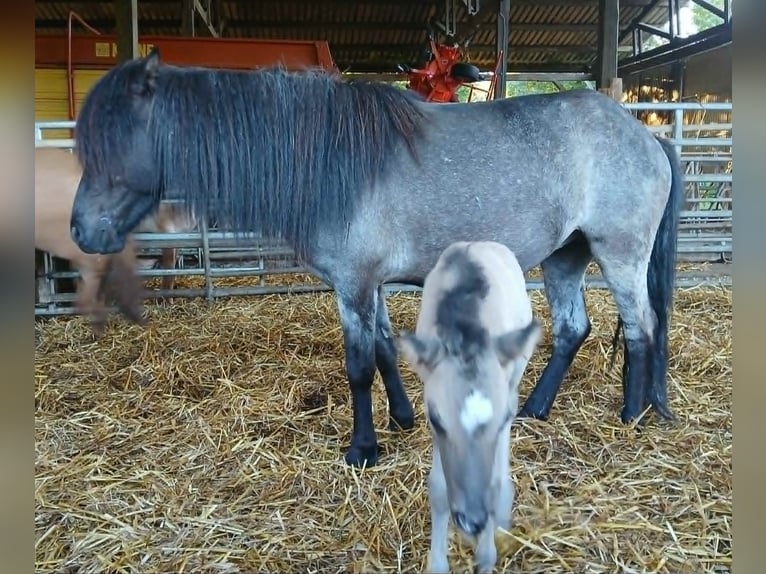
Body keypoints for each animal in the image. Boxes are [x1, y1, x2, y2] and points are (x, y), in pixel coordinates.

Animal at [67, 48, 685, 467]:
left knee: (642, 329)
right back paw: (535, 409)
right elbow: (386, 348)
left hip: (620, 255)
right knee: (573, 329)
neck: (329, 160)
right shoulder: (372, 285)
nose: (81, 231)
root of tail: (646, 135)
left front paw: (363, 448)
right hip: (564, 257)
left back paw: (633, 414)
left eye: (113, 142)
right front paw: (404, 418)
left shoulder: (354, 284)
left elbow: (359, 364)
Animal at [397, 241, 541, 573]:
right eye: (436, 421)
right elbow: (438, 488)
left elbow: (494, 483)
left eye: (500, 421)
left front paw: (487, 553)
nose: (472, 521)